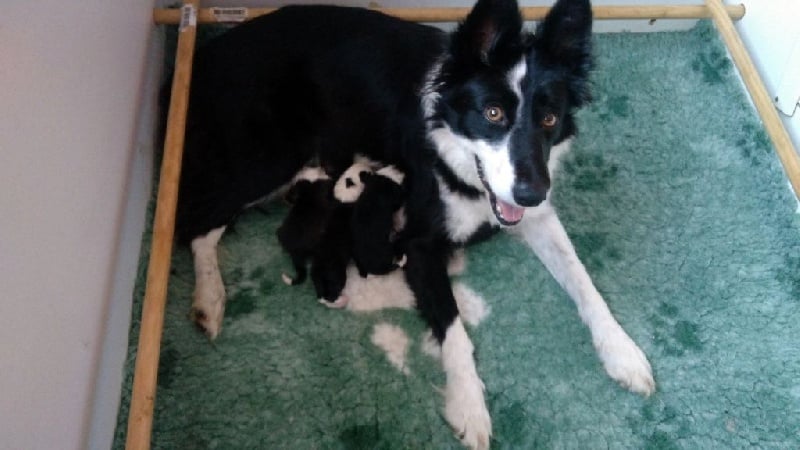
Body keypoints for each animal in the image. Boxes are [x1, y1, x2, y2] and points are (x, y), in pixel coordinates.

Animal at [177, 1, 656, 448]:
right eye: (493, 113)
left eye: (549, 118)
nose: (531, 193)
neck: (458, 158)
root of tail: (214, 51)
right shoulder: (420, 243)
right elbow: (454, 328)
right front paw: (469, 407)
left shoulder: (535, 214)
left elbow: (583, 279)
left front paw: (623, 351)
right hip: (271, 157)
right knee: (198, 223)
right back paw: (210, 300)